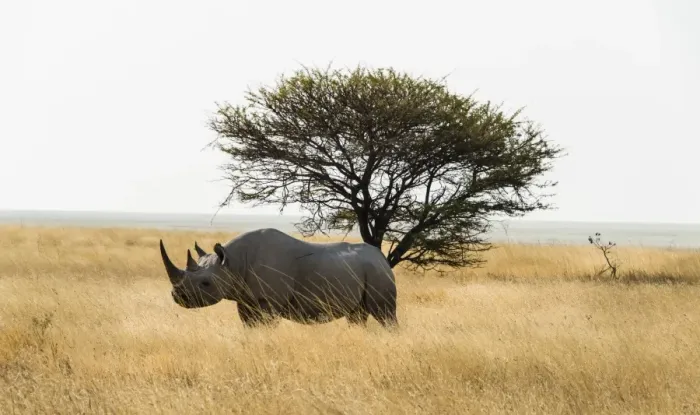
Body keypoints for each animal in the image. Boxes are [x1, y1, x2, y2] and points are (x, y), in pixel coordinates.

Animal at [158, 228, 398, 329]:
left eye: (206, 283)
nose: (177, 296)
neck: (233, 263)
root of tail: (381, 257)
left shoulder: (268, 301)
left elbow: (266, 324)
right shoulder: (246, 299)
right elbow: (249, 325)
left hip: (377, 272)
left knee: (384, 314)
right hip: (366, 270)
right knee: (357, 314)